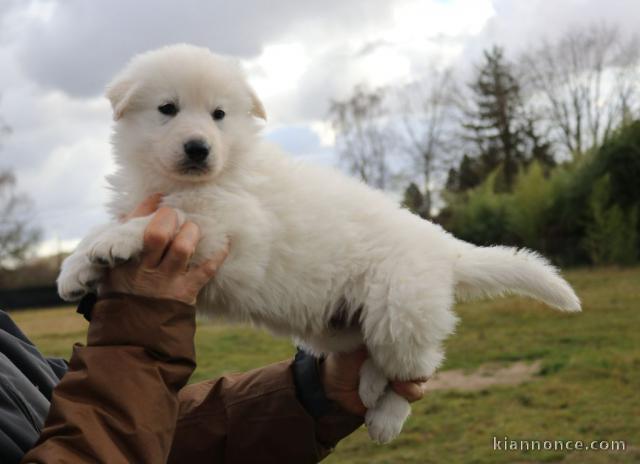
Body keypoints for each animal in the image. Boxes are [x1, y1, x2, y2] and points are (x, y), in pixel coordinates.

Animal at [58, 45, 580, 444]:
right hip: (351, 325)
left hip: (399, 310)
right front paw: (75, 268)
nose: (198, 148)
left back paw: (386, 418)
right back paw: (366, 387)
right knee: (377, 357)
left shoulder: (229, 226)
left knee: (418, 368)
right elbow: (119, 222)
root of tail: (446, 248)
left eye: (219, 115)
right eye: (167, 109)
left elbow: (161, 218)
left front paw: (112, 244)